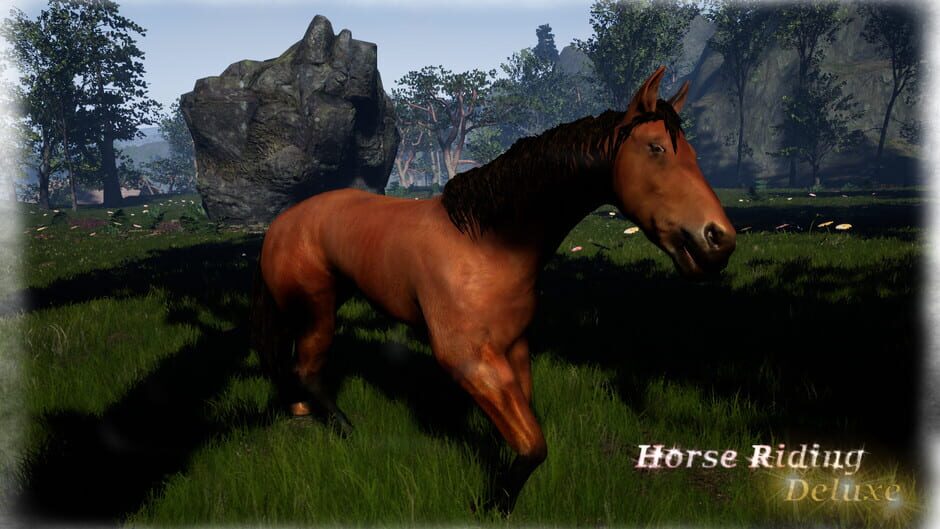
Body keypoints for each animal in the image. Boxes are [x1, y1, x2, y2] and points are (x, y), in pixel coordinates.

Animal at [250, 67, 736, 514]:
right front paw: (492, 505)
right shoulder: (468, 360)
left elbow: (525, 431)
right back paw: (345, 429)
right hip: (317, 309)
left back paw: (300, 411)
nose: (718, 239)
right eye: (656, 149)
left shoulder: (514, 348)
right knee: (306, 369)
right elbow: (533, 444)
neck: (484, 243)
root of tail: (282, 222)